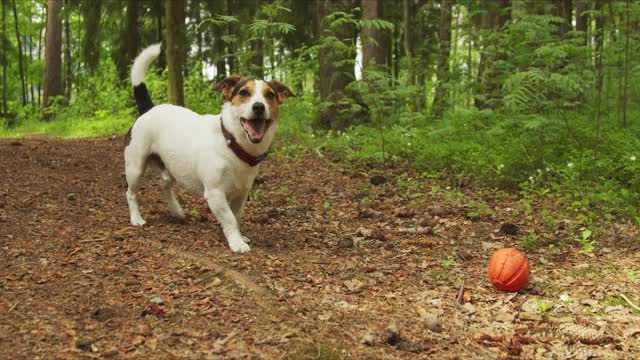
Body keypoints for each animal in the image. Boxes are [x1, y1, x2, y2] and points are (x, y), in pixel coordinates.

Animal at [124, 43, 292, 253]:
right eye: (244, 93)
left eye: (270, 95)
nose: (259, 107)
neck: (232, 143)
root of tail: (149, 108)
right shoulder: (215, 194)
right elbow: (229, 218)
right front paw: (236, 243)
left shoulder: (241, 194)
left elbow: (236, 217)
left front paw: (239, 236)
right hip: (135, 167)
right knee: (130, 193)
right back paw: (136, 218)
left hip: (172, 166)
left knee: (165, 185)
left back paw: (176, 211)